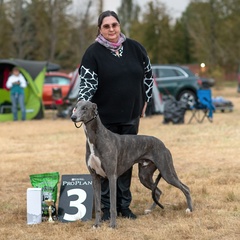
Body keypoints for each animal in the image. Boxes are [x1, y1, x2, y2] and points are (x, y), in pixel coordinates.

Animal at [71, 100, 193, 228]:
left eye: (85, 108)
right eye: (75, 107)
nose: (73, 117)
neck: (95, 138)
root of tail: (163, 144)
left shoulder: (111, 176)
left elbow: (113, 205)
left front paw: (112, 225)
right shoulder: (95, 177)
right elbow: (99, 205)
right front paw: (96, 225)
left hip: (166, 171)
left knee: (185, 188)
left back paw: (189, 209)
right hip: (144, 175)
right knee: (158, 191)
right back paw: (149, 210)